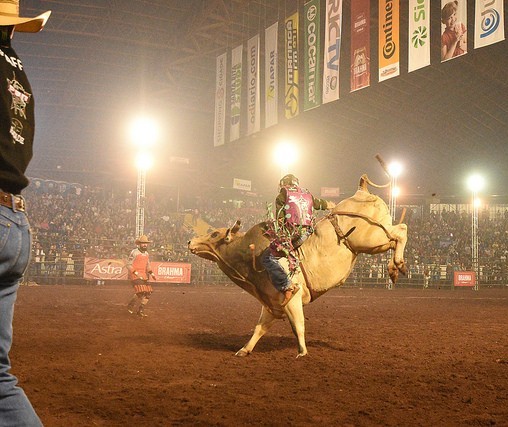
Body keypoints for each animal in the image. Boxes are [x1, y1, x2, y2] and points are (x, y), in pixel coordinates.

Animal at [188, 174, 408, 358]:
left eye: (214, 234)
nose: (191, 242)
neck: (250, 257)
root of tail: (361, 191)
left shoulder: (292, 297)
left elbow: (298, 326)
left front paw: (302, 352)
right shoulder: (272, 305)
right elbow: (259, 329)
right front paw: (244, 349)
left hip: (370, 238)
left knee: (400, 231)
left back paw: (397, 265)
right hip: (376, 242)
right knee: (395, 236)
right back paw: (395, 269)